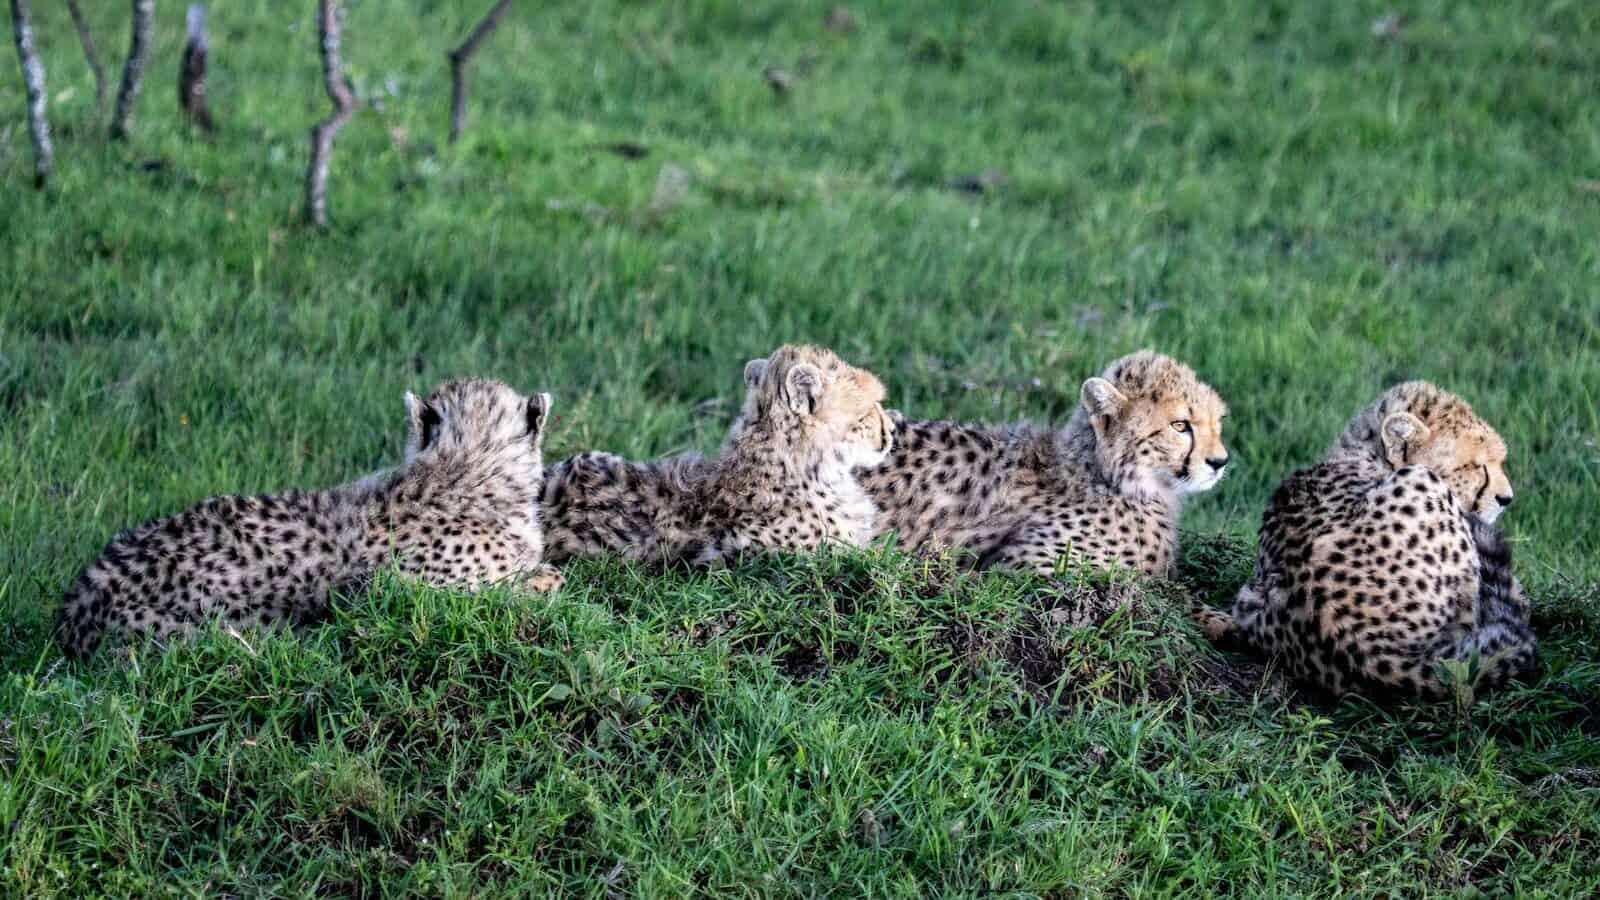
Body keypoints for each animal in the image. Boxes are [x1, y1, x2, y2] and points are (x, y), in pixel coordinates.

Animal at [1191, 380, 1536, 700]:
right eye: (1476, 466)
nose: (1507, 499)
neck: (1365, 454)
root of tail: (1359, 641)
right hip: (1424, 484)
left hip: (1250, 600)